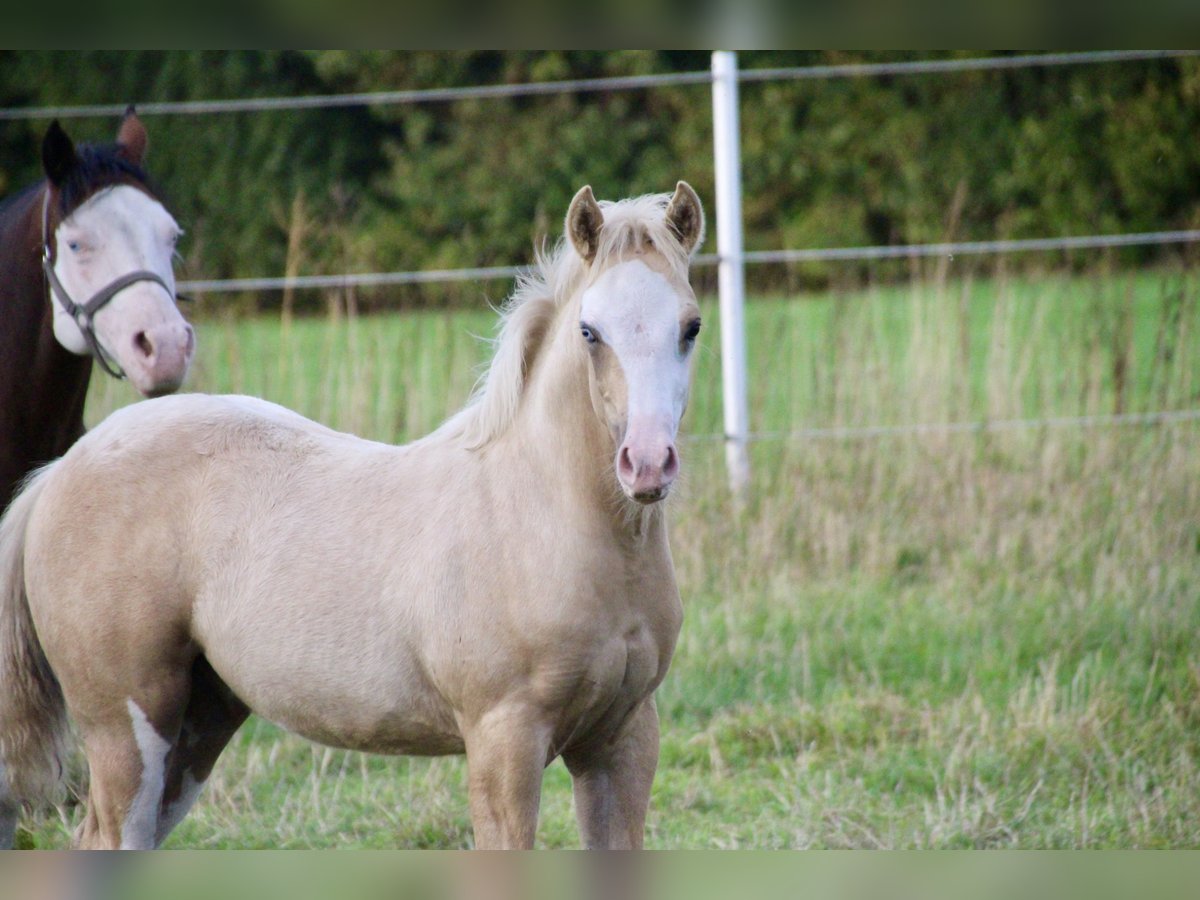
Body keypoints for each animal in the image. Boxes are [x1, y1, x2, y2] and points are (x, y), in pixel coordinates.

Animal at [0, 182, 705, 849]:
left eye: (691, 327)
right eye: (590, 331)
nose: (646, 464)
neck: (545, 519)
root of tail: (59, 472)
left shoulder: (622, 740)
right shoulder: (504, 739)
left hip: (199, 721)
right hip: (126, 723)